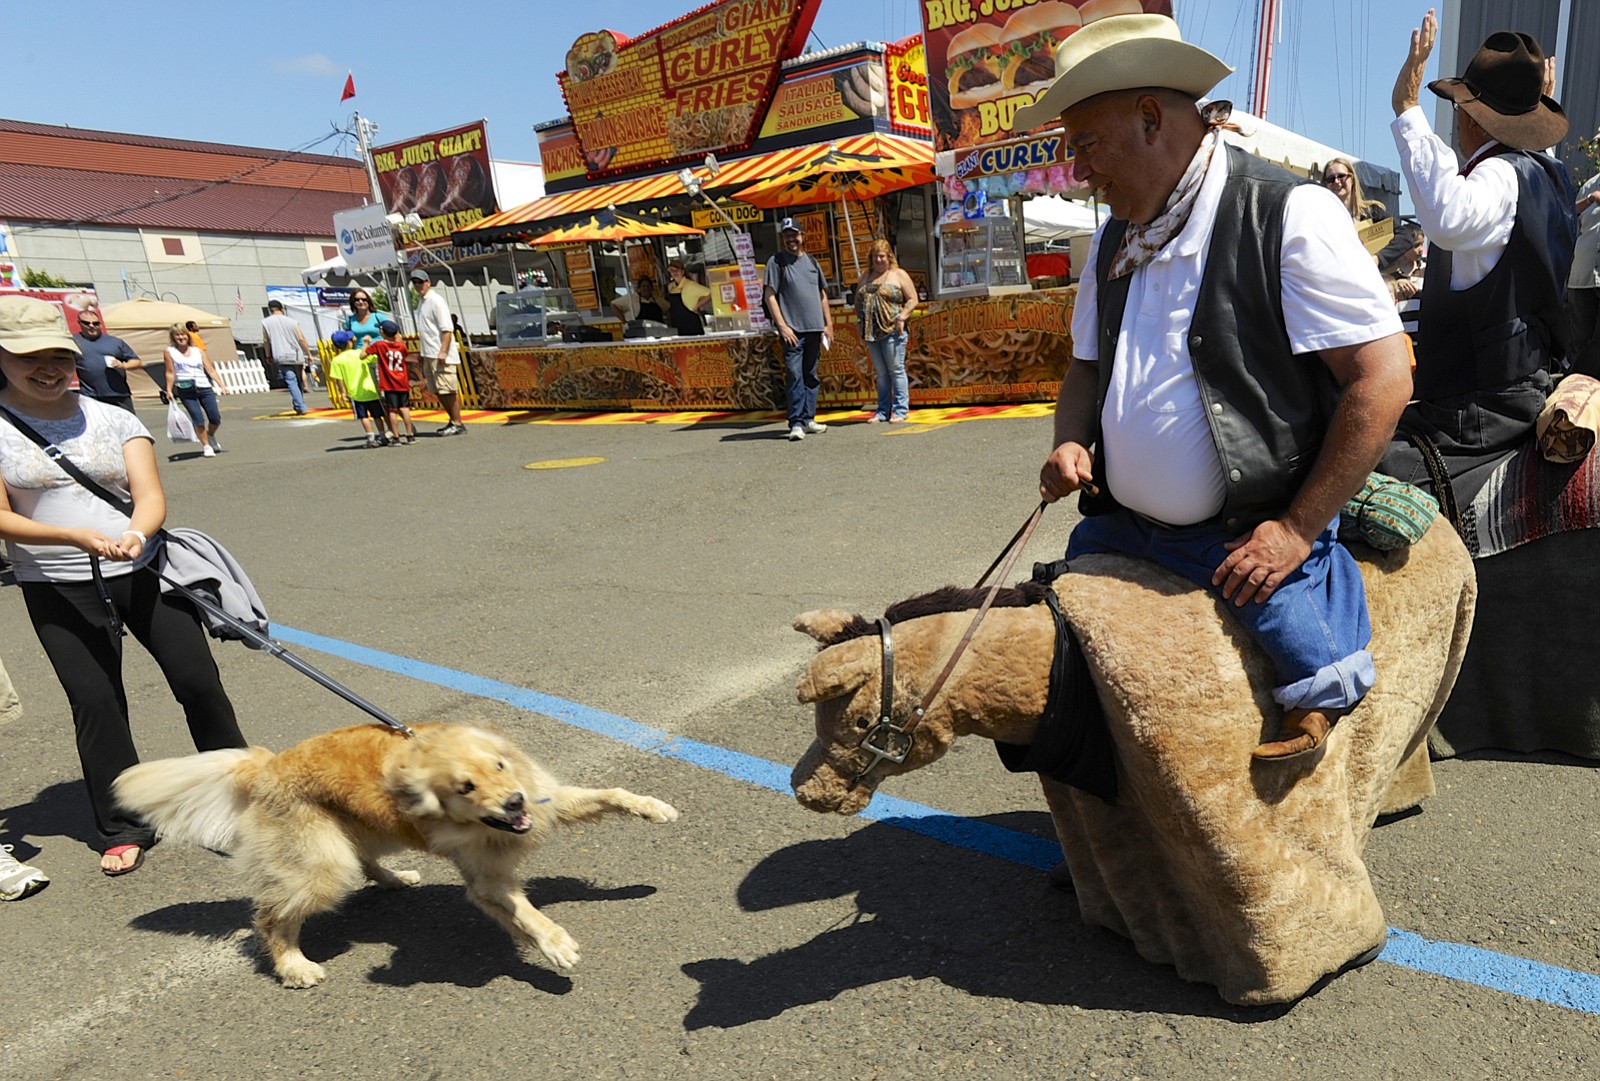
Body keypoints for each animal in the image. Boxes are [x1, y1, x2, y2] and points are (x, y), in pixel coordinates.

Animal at [112, 725, 675, 985]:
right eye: (465, 787)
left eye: (499, 767)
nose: (514, 802)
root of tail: (263, 767)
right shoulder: (486, 882)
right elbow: (526, 914)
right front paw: (555, 945)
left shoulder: (545, 800)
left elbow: (609, 794)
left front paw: (654, 807)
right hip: (323, 865)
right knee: (270, 918)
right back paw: (293, 966)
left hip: (359, 832)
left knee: (365, 863)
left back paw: (396, 879)